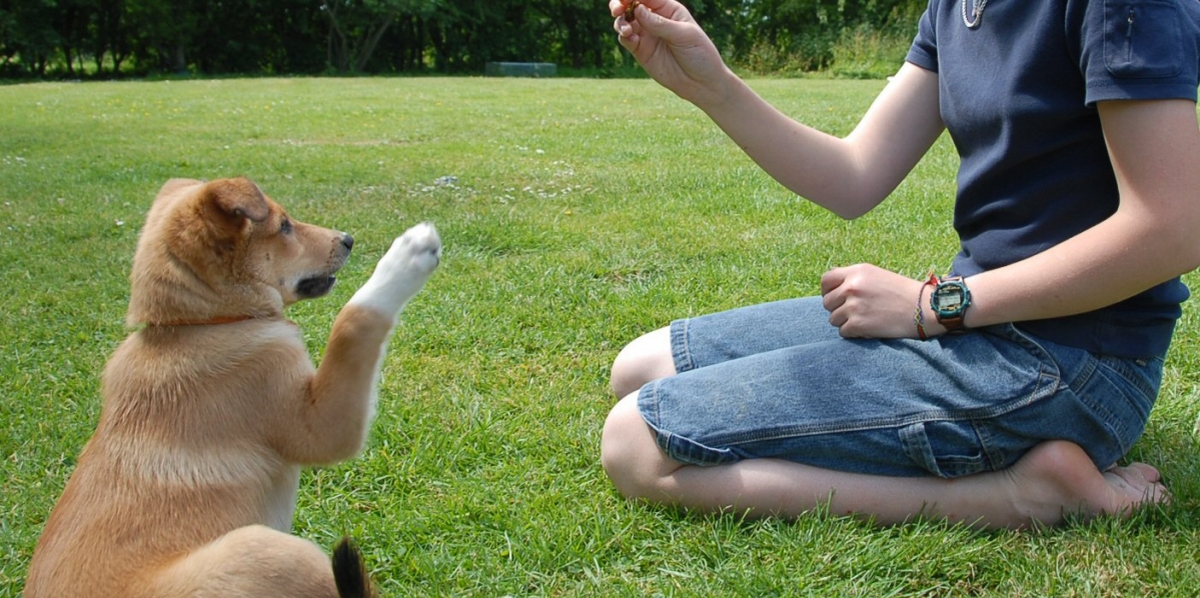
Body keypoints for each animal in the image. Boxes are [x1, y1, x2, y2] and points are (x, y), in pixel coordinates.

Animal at [25, 178, 441, 598]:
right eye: (284, 226)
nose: (348, 240)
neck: (201, 325)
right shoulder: (319, 423)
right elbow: (352, 322)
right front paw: (406, 256)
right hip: (266, 550)